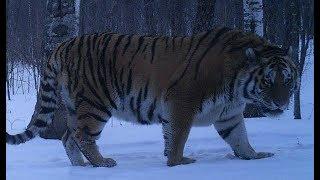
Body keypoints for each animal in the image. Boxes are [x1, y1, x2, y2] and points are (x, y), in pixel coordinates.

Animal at [6, 26, 298, 167]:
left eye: (287, 80)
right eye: (267, 82)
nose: (281, 104)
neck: (236, 87)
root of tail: (63, 44)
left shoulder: (230, 114)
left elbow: (240, 139)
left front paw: (255, 157)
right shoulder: (182, 103)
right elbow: (178, 138)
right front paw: (179, 162)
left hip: (73, 106)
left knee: (68, 137)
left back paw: (80, 167)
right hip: (95, 104)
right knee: (82, 136)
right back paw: (103, 163)